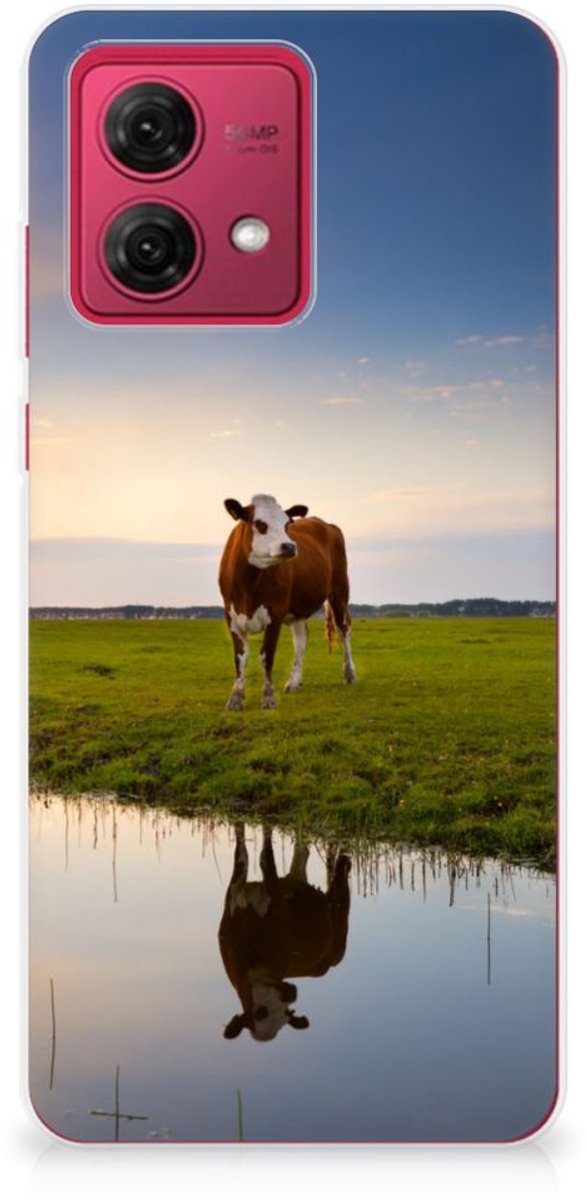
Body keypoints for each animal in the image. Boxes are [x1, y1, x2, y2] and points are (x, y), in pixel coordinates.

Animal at [218, 494, 357, 710]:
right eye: (260, 524)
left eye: (287, 524)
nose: (290, 546)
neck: (248, 585)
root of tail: (325, 523)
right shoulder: (231, 616)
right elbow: (240, 657)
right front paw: (235, 698)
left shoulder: (275, 613)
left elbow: (267, 655)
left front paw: (268, 698)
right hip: (298, 608)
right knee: (301, 640)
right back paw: (293, 682)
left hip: (340, 592)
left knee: (344, 629)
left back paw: (349, 674)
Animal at [218, 823, 351, 1042]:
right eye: (260, 1013)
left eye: (286, 1014)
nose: (291, 993)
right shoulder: (233, 895)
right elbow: (242, 853)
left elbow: (265, 857)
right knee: (302, 852)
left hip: (340, 929)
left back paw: (344, 861)